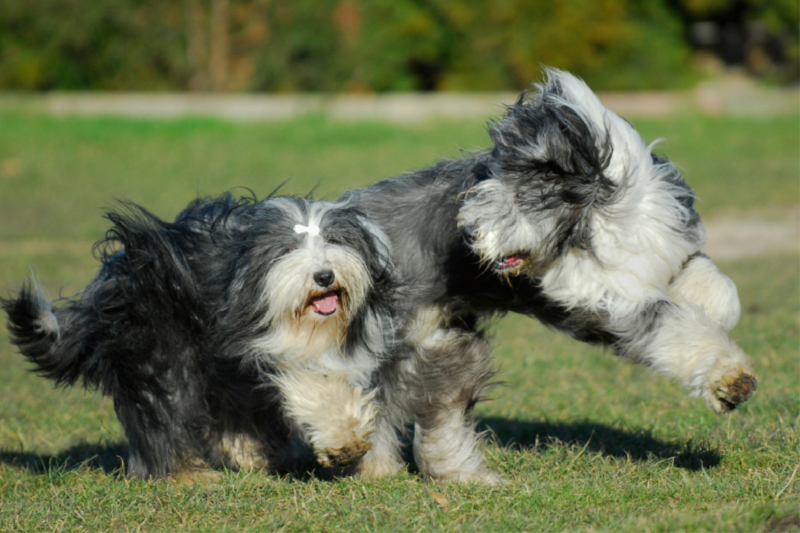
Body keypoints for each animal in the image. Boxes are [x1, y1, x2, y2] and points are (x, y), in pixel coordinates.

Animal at [0, 193, 400, 480]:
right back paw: (184, 474)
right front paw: (344, 441)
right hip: (158, 353)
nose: (324, 275)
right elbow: (308, 382)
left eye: (334, 241)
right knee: (163, 414)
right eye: (288, 250)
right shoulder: (253, 344)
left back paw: (247, 454)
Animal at [342, 66, 756, 482]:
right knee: (392, 402)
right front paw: (730, 381)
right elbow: (675, 329)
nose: (468, 233)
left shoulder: (669, 250)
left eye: (517, 194)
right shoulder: (608, 302)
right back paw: (388, 468)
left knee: (436, 409)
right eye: (482, 188)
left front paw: (715, 313)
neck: (599, 220)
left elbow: (719, 288)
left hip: (445, 342)